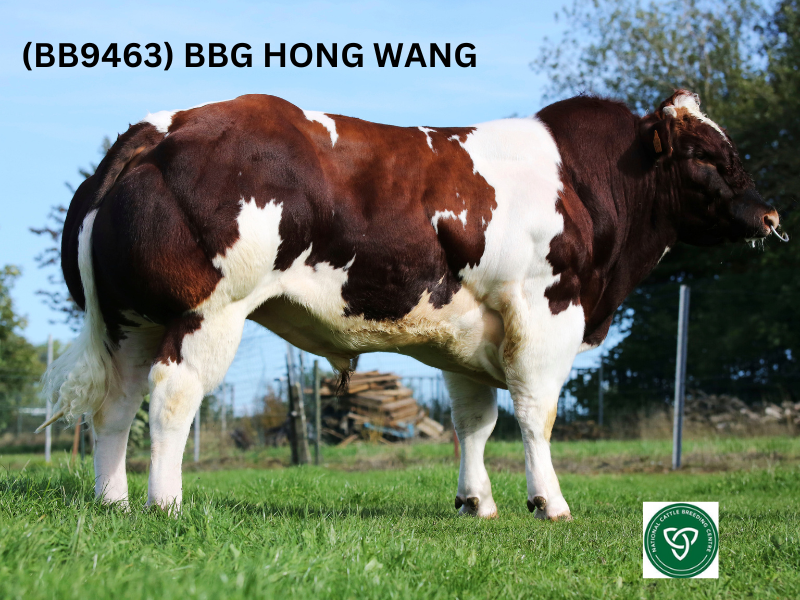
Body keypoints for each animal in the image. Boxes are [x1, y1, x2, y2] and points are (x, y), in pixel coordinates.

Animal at [40, 90, 784, 519]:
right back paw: (165, 504)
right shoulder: (546, 315)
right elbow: (536, 417)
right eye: (707, 154)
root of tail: (165, 125)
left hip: (133, 320)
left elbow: (475, 422)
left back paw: (114, 502)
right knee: (172, 397)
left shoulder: (468, 335)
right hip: (208, 311)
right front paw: (549, 502)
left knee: (116, 406)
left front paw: (476, 502)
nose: (771, 213)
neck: (582, 183)